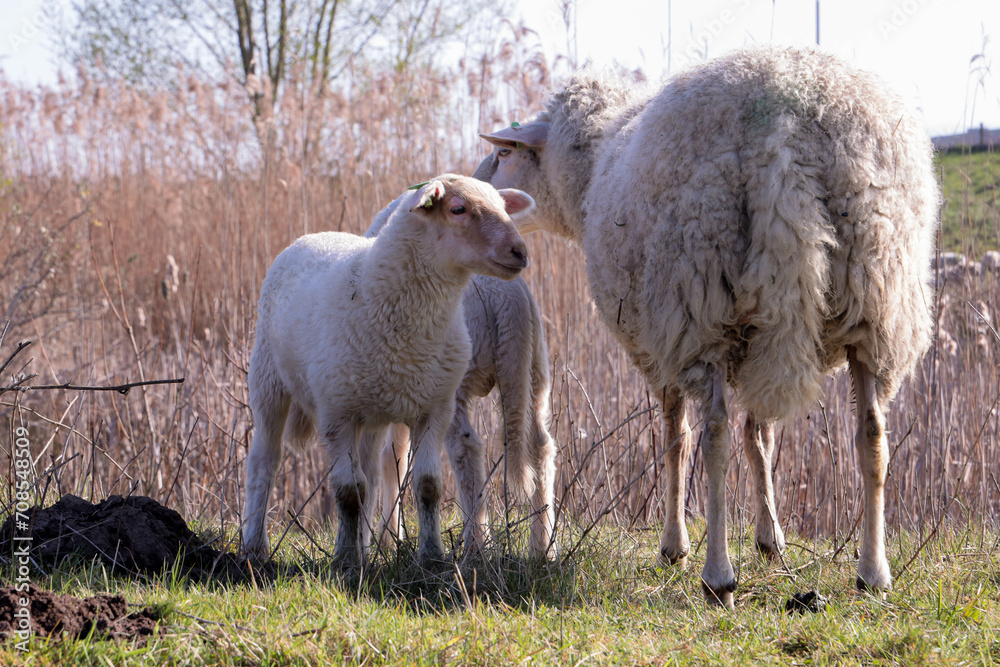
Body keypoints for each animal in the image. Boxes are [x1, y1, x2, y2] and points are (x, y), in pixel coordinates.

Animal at [241, 175, 535, 566]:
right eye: (458, 209)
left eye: (504, 208)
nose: (520, 252)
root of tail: (315, 235)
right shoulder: (336, 414)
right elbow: (348, 491)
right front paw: (345, 561)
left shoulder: (434, 408)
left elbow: (427, 486)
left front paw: (431, 556)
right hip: (268, 378)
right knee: (265, 460)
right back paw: (255, 545)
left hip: (373, 410)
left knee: (370, 472)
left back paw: (364, 548)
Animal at [364, 195, 557, 559]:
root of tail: (505, 300)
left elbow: (391, 456)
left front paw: (385, 539)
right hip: (534, 370)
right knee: (539, 444)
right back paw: (543, 547)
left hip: (453, 380)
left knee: (466, 446)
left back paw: (476, 544)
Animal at [475, 45, 939, 608]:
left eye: (504, 156)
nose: (476, 189)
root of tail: (784, 128)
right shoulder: (761, 336)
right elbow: (760, 436)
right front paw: (771, 539)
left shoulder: (658, 343)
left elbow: (678, 437)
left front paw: (674, 546)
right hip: (875, 297)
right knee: (871, 431)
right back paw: (873, 572)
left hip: (700, 299)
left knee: (713, 434)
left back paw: (718, 577)